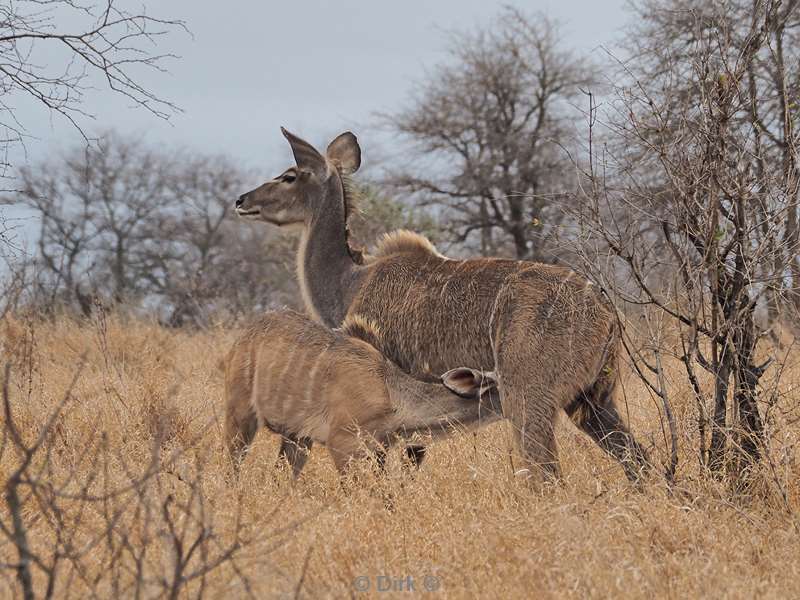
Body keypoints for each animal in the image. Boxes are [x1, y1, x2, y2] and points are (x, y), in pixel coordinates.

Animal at [223, 312, 500, 476]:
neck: (392, 393)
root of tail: (243, 336)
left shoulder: (379, 450)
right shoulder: (344, 445)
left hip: (298, 438)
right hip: (241, 417)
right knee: (233, 464)